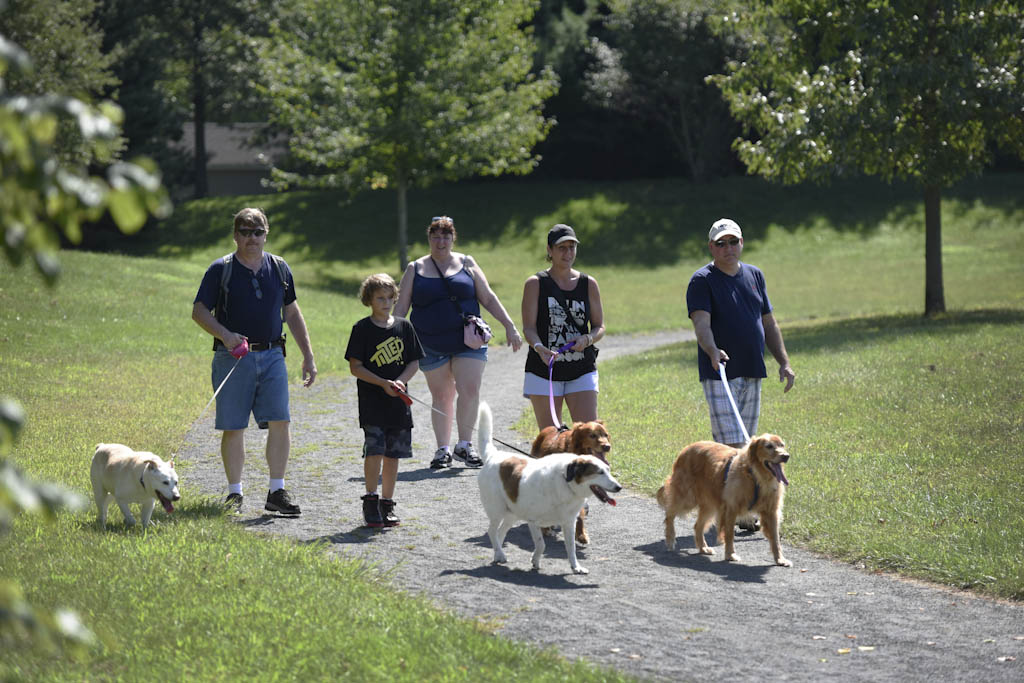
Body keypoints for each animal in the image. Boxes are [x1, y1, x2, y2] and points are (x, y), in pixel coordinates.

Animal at [655, 436, 790, 569]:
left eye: (782, 445)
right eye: (769, 446)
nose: (786, 456)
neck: (756, 476)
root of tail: (686, 449)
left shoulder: (771, 512)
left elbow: (775, 539)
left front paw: (780, 559)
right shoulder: (731, 508)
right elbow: (729, 534)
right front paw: (730, 555)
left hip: (708, 505)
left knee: (697, 526)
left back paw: (703, 548)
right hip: (687, 497)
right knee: (669, 514)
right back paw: (670, 539)